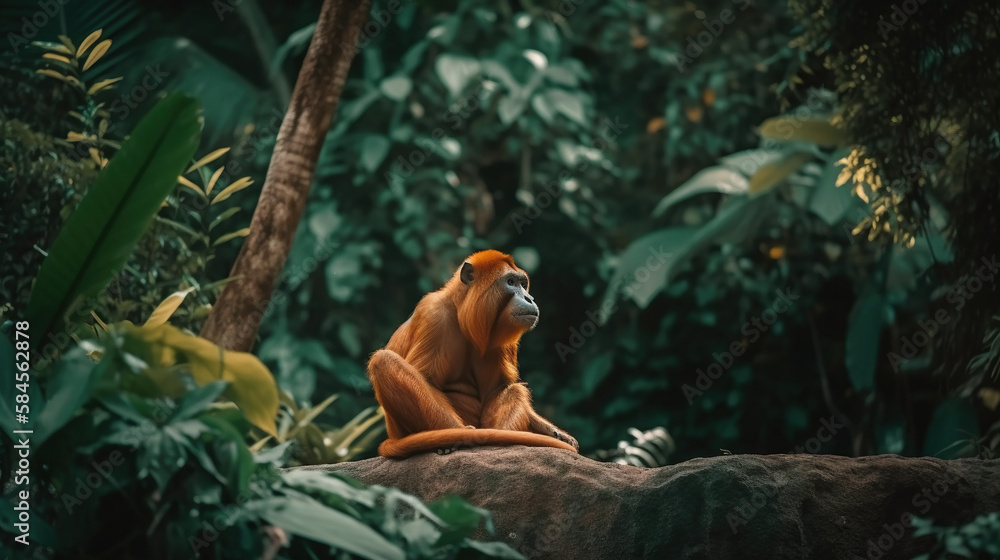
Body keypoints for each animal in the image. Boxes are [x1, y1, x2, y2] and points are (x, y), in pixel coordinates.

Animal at [367, 250, 579, 458]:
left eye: (523, 285)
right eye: (511, 282)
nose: (530, 299)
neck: (460, 311)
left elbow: (499, 389)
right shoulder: (434, 314)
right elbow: (427, 381)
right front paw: (454, 436)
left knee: (513, 390)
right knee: (383, 360)